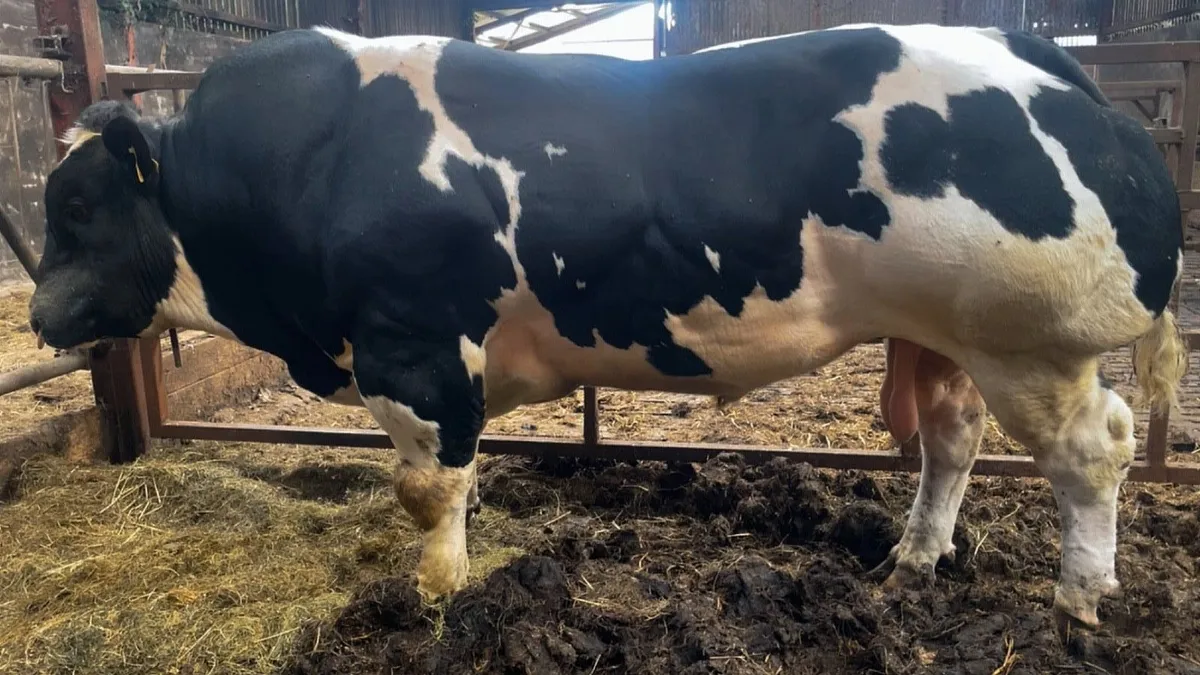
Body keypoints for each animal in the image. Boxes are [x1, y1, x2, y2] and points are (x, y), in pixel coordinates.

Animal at [28, 22, 1187, 635]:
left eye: (77, 204)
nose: (39, 315)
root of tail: (1020, 44)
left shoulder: (414, 348)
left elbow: (426, 487)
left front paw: (435, 594)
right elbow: (456, 477)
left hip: (1033, 343)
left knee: (1095, 451)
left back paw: (1080, 594)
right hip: (945, 338)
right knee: (952, 442)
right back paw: (911, 561)